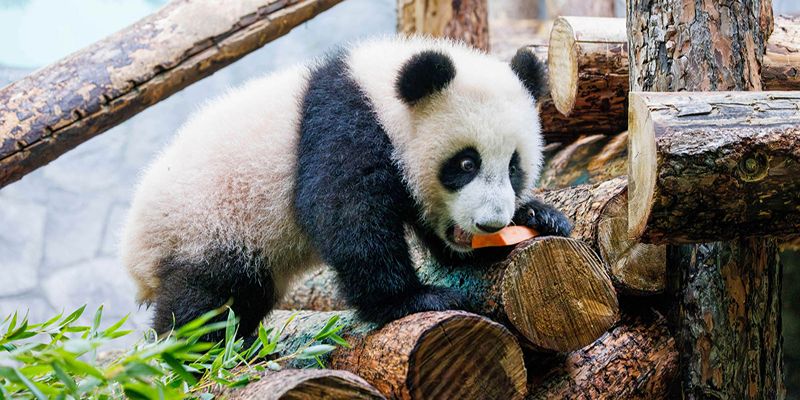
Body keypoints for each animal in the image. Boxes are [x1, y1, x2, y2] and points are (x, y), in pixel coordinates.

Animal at [120, 36, 571, 340]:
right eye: (465, 164)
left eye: (513, 167)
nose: (490, 223)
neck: (382, 93)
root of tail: (135, 255)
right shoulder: (344, 126)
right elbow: (347, 215)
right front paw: (418, 298)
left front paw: (539, 217)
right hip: (205, 226)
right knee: (204, 299)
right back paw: (195, 352)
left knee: (247, 295)